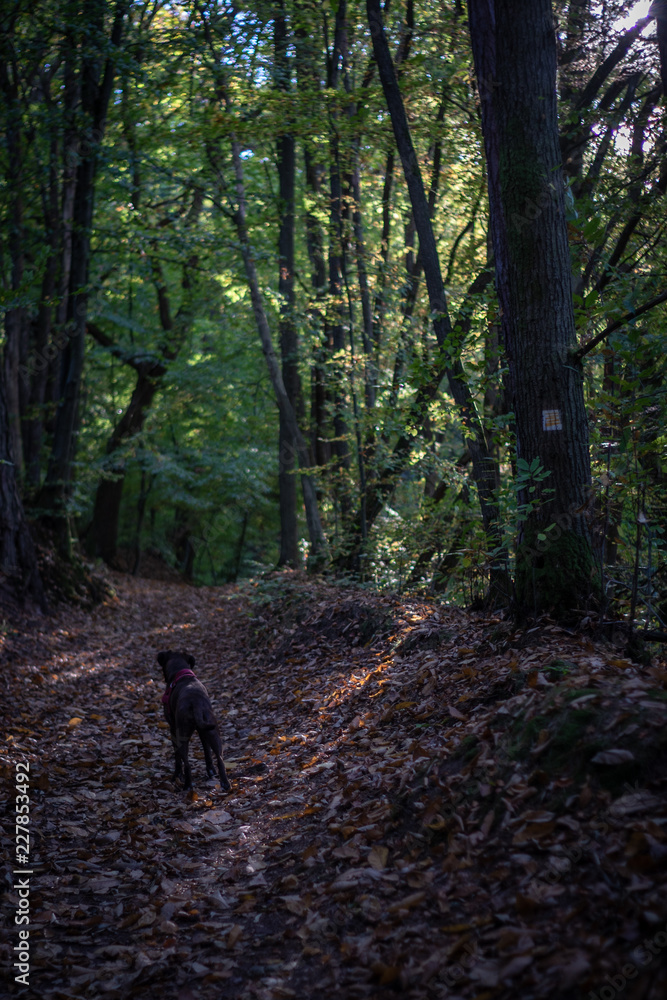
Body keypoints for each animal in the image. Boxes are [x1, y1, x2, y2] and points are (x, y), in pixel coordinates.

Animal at [158, 652, 231, 792]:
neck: (181, 672)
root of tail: (195, 703)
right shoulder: (203, 731)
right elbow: (207, 751)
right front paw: (210, 770)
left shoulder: (173, 730)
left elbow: (177, 758)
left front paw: (177, 775)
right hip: (213, 732)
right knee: (220, 759)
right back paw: (225, 783)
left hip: (182, 735)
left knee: (186, 763)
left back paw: (187, 785)